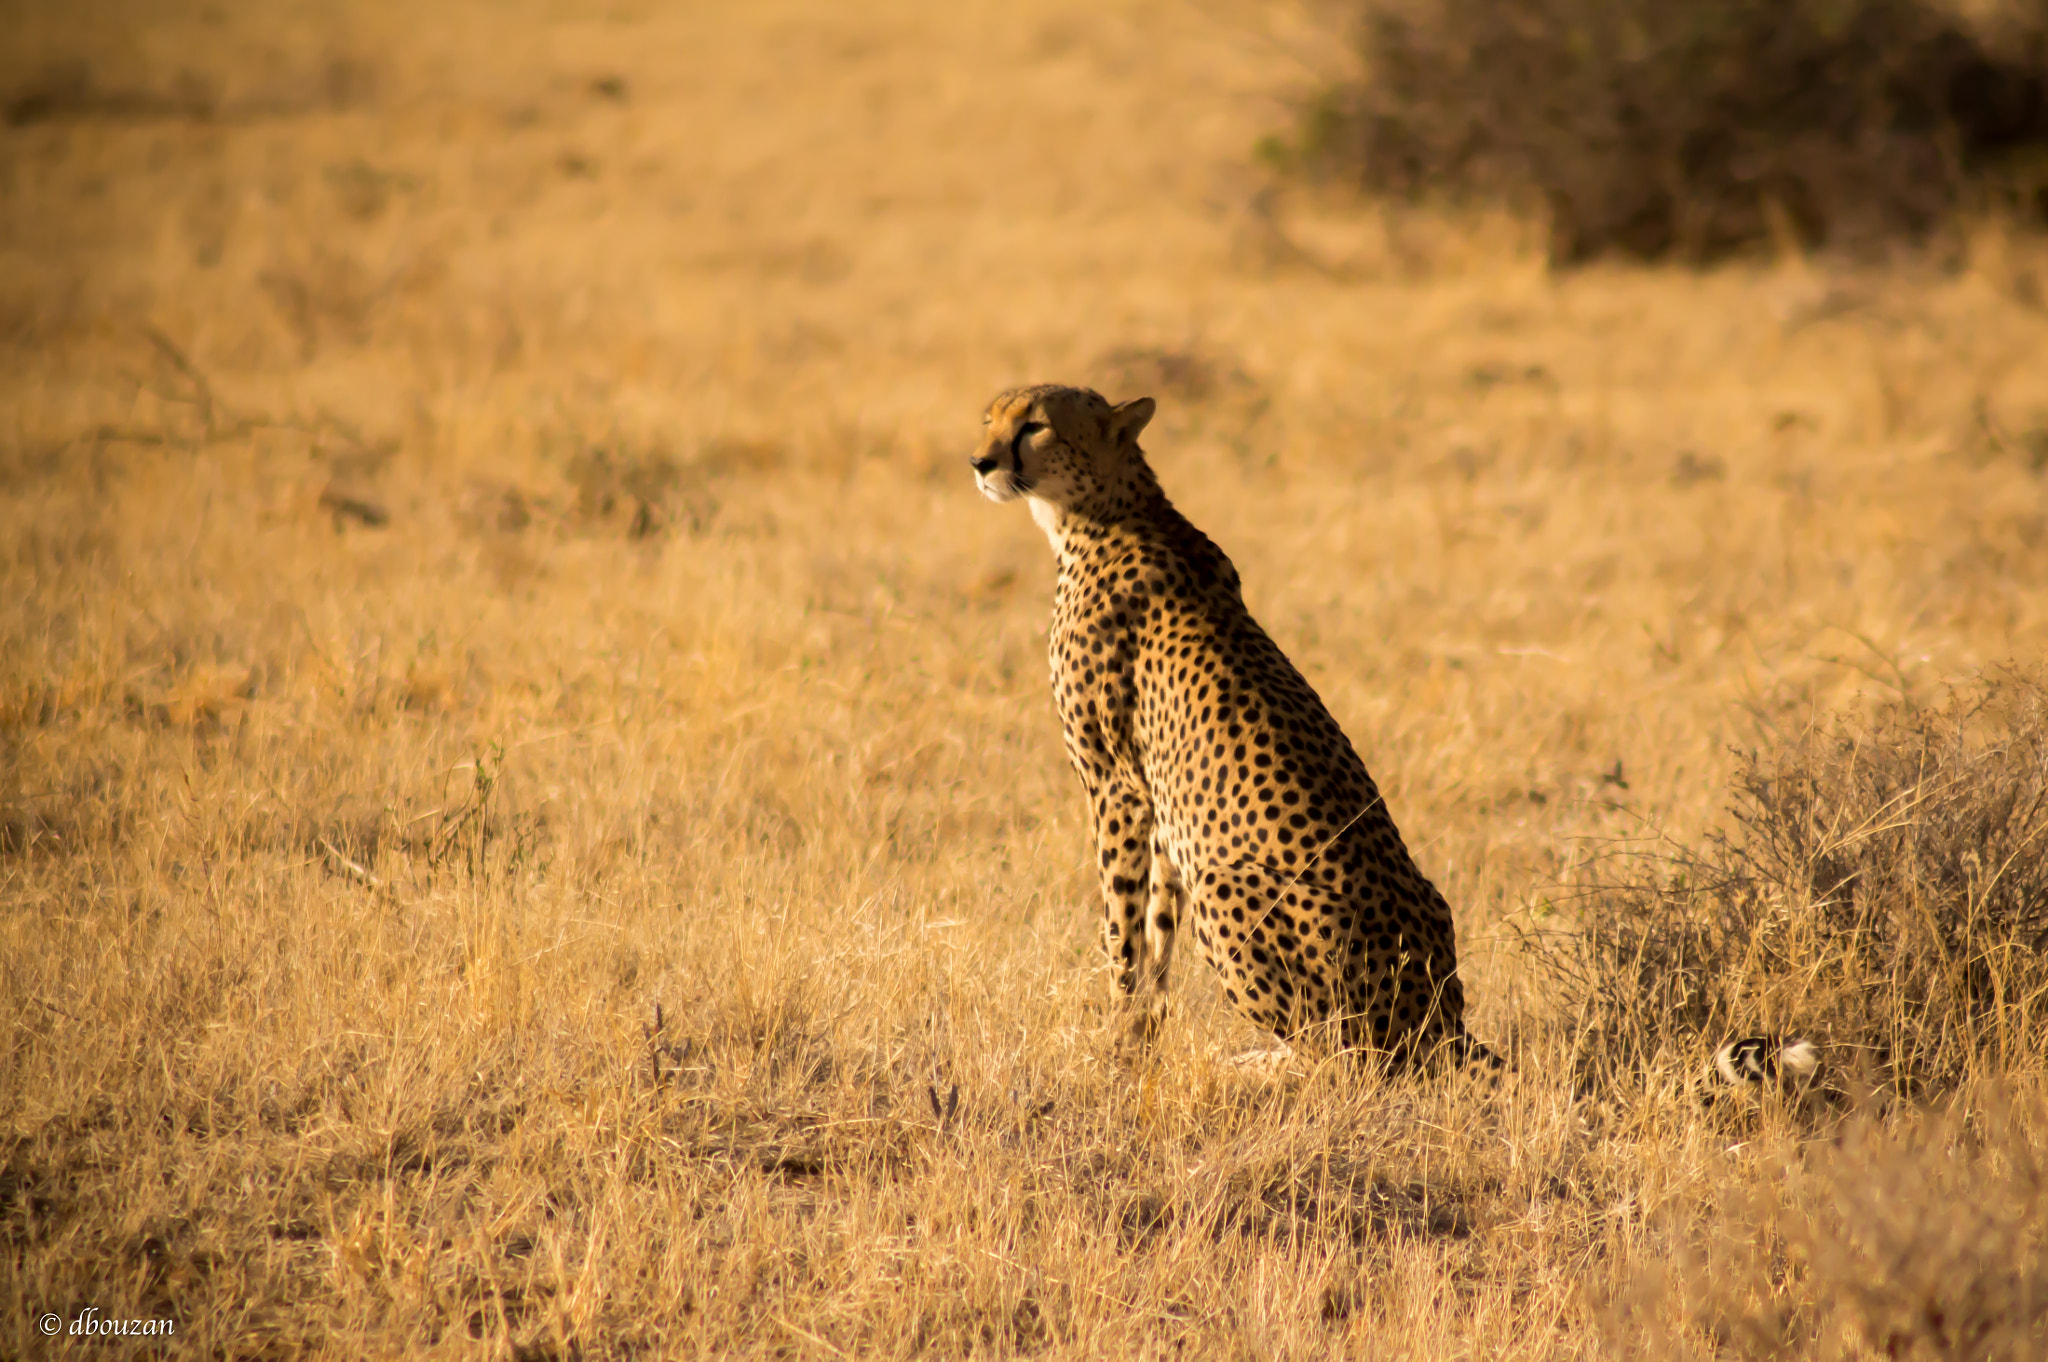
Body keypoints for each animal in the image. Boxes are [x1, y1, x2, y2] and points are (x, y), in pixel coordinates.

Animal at [969, 382, 1487, 1070]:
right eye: (988, 419)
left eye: (1034, 426)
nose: (979, 462)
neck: (1102, 512)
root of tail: (1446, 1025)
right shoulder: (1163, 807)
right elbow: (1158, 935)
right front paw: (1144, 1040)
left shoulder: (1115, 787)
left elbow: (1121, 931)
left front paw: (1115, 1045)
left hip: (1228, 885)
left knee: (1341, 1059)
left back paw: (1252, 1065)